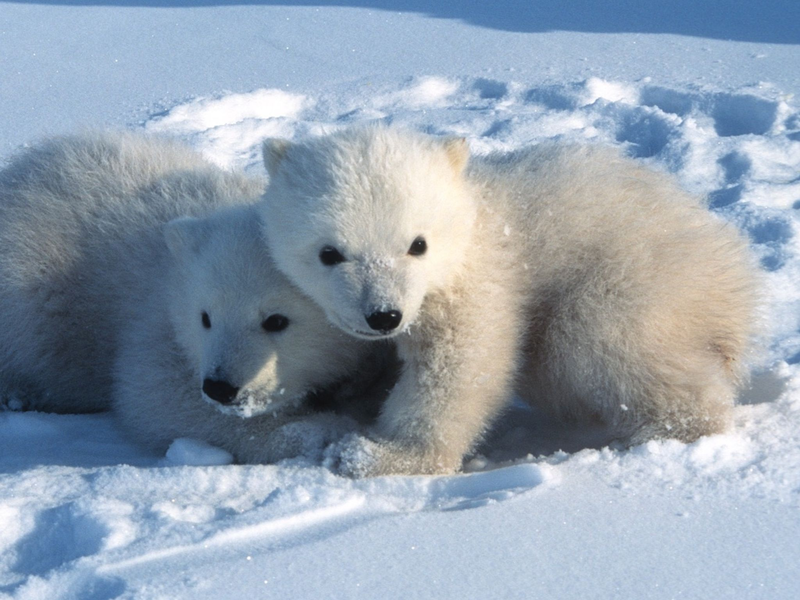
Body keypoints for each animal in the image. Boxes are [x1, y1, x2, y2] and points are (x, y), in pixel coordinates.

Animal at [0, 132, 390, 462]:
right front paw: (323, 432)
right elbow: (155, 395)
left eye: (276, 320)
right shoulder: (158, 320)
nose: (220, 387)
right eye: (205, 317)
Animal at [258, 123, 760, 476]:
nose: (384, 316)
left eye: (417, 244)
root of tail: (737, 276)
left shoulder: (477, 282)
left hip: (642, 279)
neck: (475, 218)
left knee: (595, 342)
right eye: (329, 253)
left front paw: (375, 455)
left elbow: (460, 367)